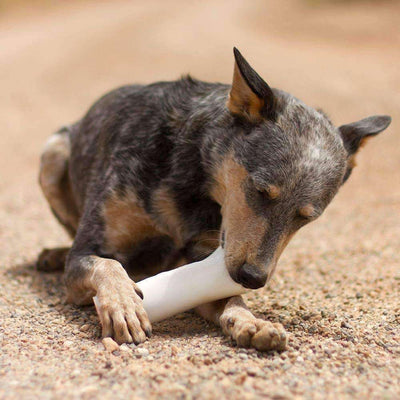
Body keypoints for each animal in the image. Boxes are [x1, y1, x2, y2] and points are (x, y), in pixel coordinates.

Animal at [37, 48, 390, 352]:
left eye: (307, 217)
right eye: (260, 191)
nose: (253, 278)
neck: (190, 181)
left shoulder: (205, 256)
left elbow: (228, 299)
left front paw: (251, 322)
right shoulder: (88, 250)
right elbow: (107, 264)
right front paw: (123, 303)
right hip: (52, 153)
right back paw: (54, 254)